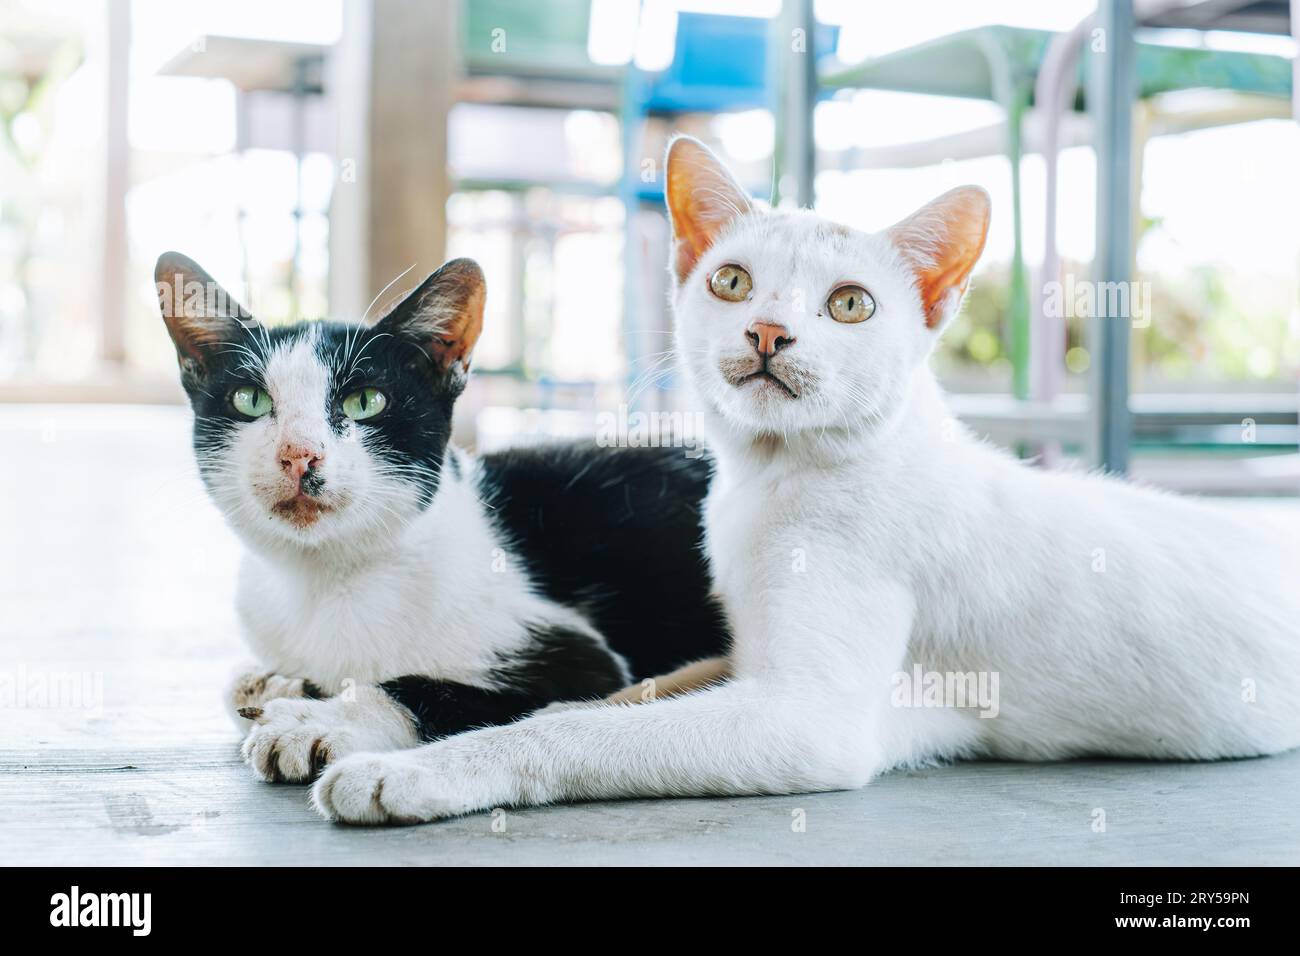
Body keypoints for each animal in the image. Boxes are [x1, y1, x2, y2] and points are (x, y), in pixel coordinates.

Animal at [156, 254, 728, 785]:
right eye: (250, 400)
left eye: (366, 401)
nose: (299, 453)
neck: (325, 578)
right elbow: (234, 682)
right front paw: (279, 683)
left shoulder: (576, 654)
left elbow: (429, 688)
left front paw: (320, 720)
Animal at [306, 136, 1300, 832]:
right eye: (731, 281)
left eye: (851, 304)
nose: (768, 333)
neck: (773, 479)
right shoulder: (747, 661)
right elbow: (620, 694)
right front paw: (338, 720)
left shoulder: (816, 716)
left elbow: (577, 729)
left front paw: (411, 769)